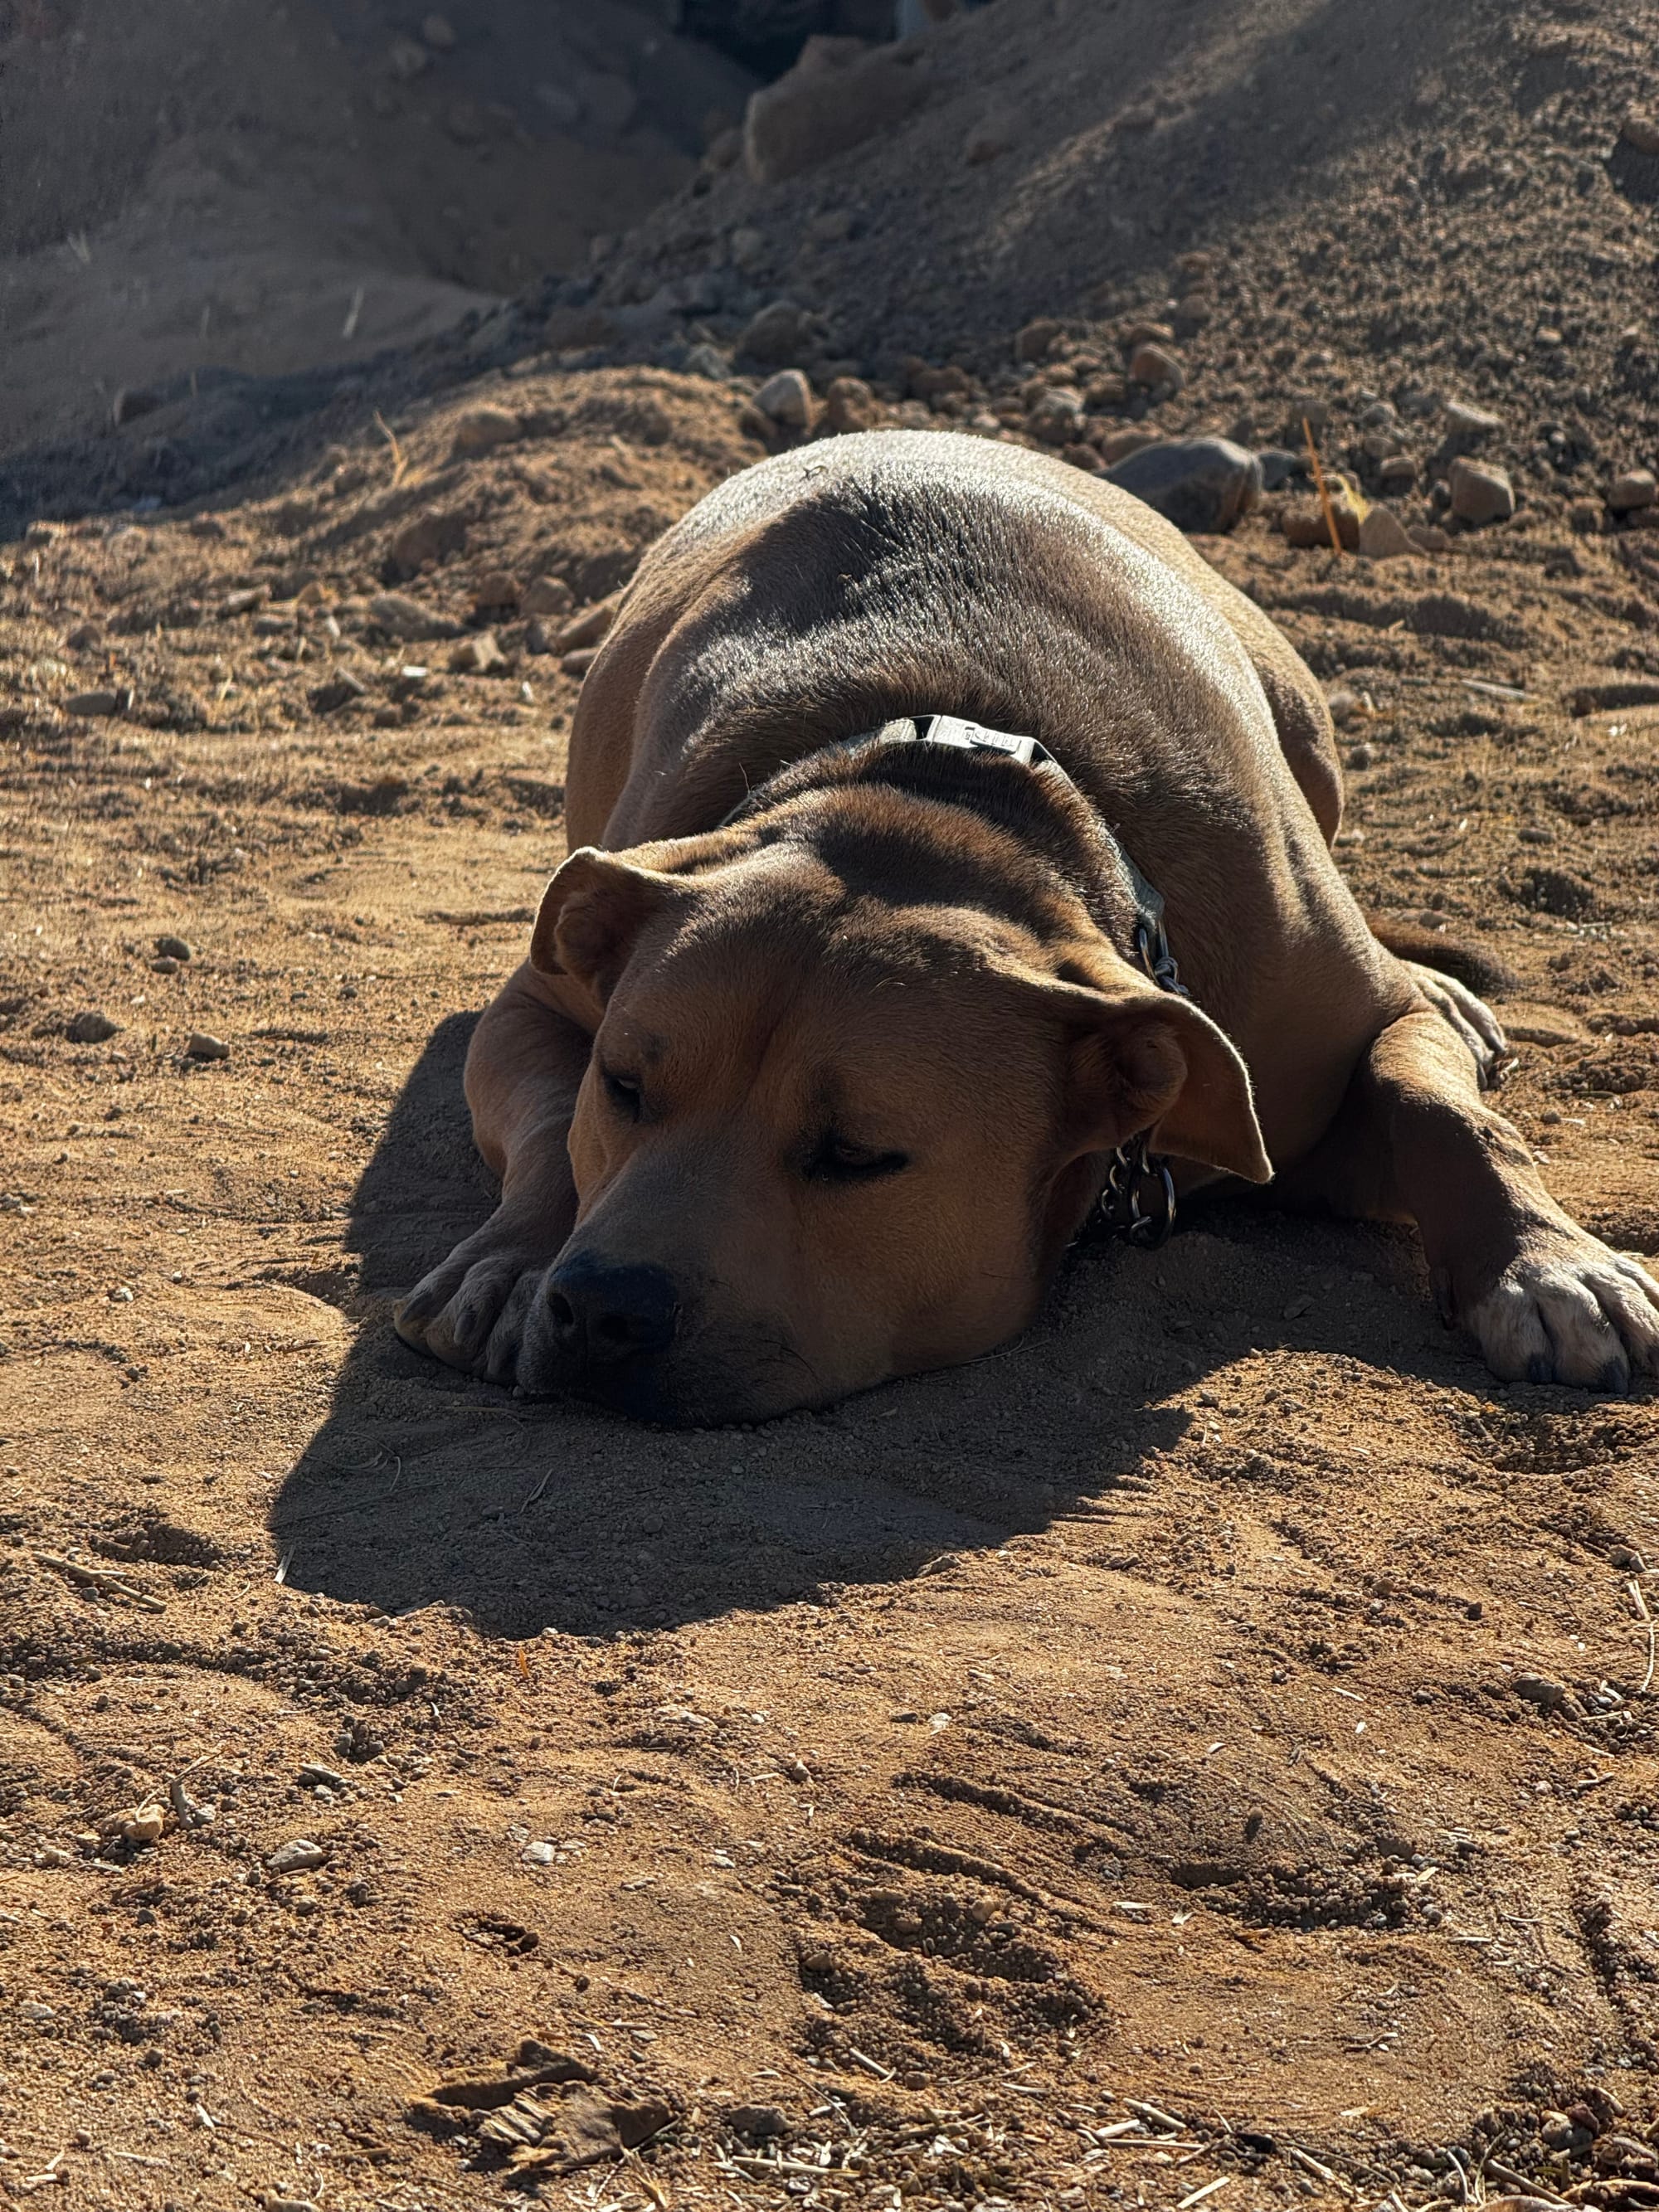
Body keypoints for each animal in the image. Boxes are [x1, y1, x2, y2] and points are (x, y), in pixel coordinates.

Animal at [395, 431, 1659, 1423]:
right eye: (624, 1086)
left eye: (859, 1156)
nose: (600, 1307)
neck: (946, 801)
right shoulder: (539, 998)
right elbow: (545, 1121)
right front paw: (512, 1264)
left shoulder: (1321, 1016)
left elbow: (1440, 1106)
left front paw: (1547, 1266)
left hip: (1304, 720)